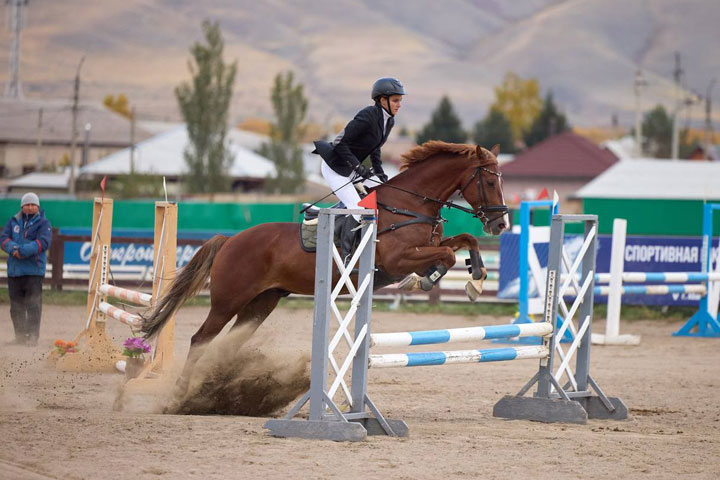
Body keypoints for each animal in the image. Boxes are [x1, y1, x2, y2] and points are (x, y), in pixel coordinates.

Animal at [141, 141, 510, 384]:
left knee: (227, 342)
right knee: (200, 339)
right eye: (491, 181)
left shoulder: (423, 249)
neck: (410, 205)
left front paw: (476, 279)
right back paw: (182, 392)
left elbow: (465, 241)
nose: (501, 224)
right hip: (228, 300)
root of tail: (230, 240)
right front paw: (431, 281)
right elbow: (447, 256)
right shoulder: (399, 258)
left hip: (261, 303)